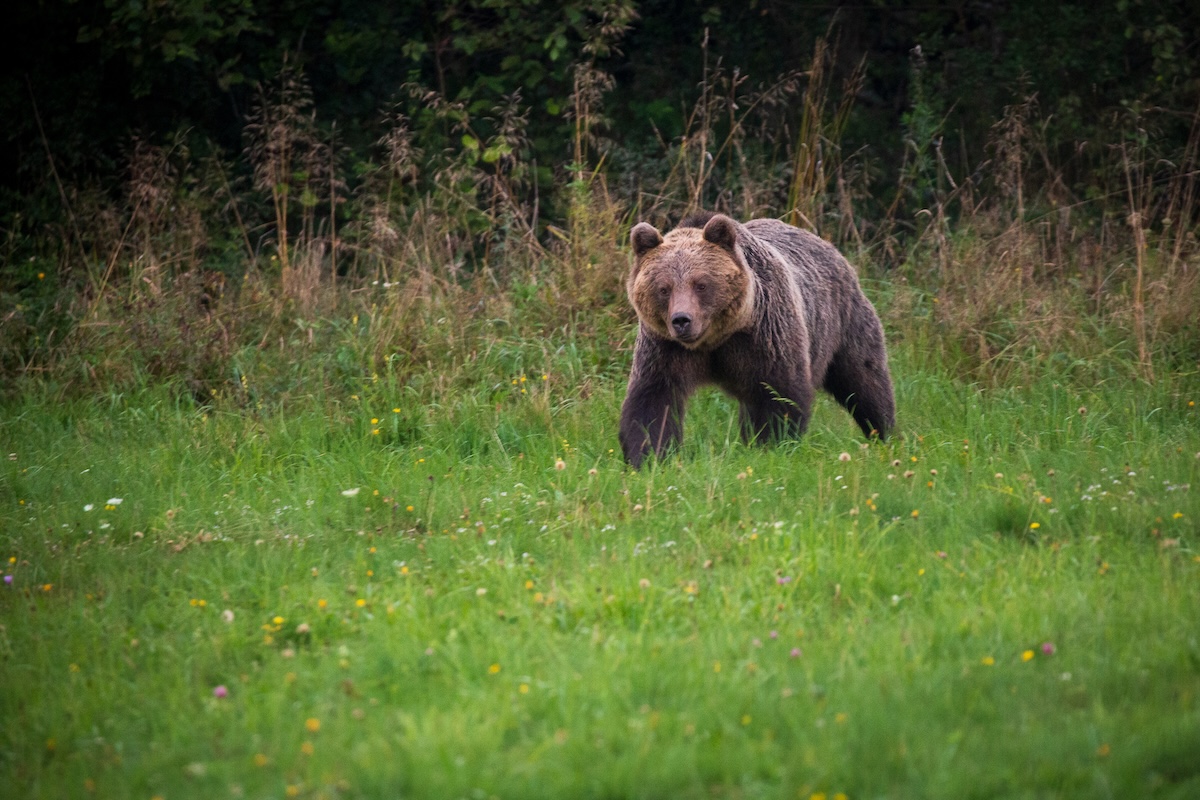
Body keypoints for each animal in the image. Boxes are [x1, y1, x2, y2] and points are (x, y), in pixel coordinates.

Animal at [619, 212, 895, 468]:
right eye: (664, 288)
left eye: (701, 284)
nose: (681, 320)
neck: (716, 338)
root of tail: (829, 246)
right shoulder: (665, 347)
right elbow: (653, 400)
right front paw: (649, 456)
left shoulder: (764, 337)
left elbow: (778, 394)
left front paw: (770, 445)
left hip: (843, 323)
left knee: (864, 380)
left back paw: (884, 432)